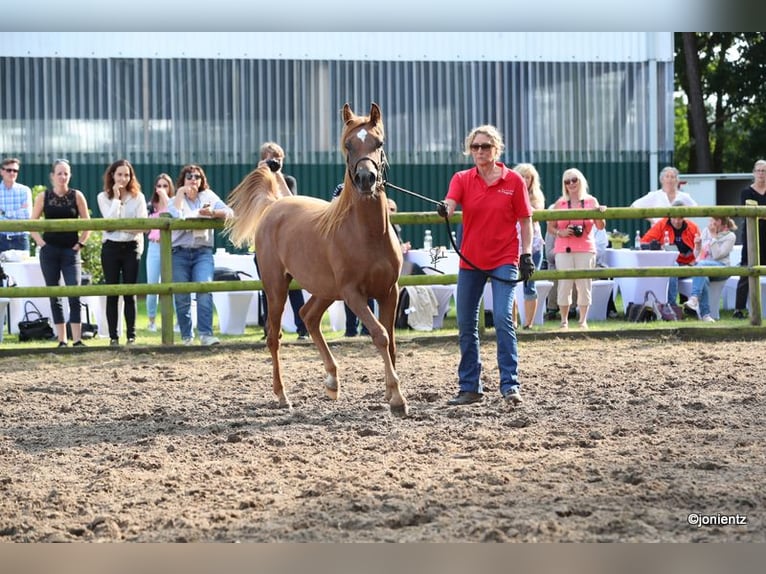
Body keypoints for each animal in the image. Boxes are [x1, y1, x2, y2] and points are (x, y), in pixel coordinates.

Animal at [225, 103, 408, 416]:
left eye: (379, 143)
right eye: (348, 144)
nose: (366, 180)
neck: (367, 234)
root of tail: (274, 205)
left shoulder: (389, 292)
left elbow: (392, 341)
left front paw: (390, 392)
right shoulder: (354, 294)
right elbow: (380, 334)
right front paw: (396, 398)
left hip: (325, 290)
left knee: (308, 316)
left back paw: (332, 381)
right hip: (277, 287)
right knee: (274, 336)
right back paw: (283, 396)